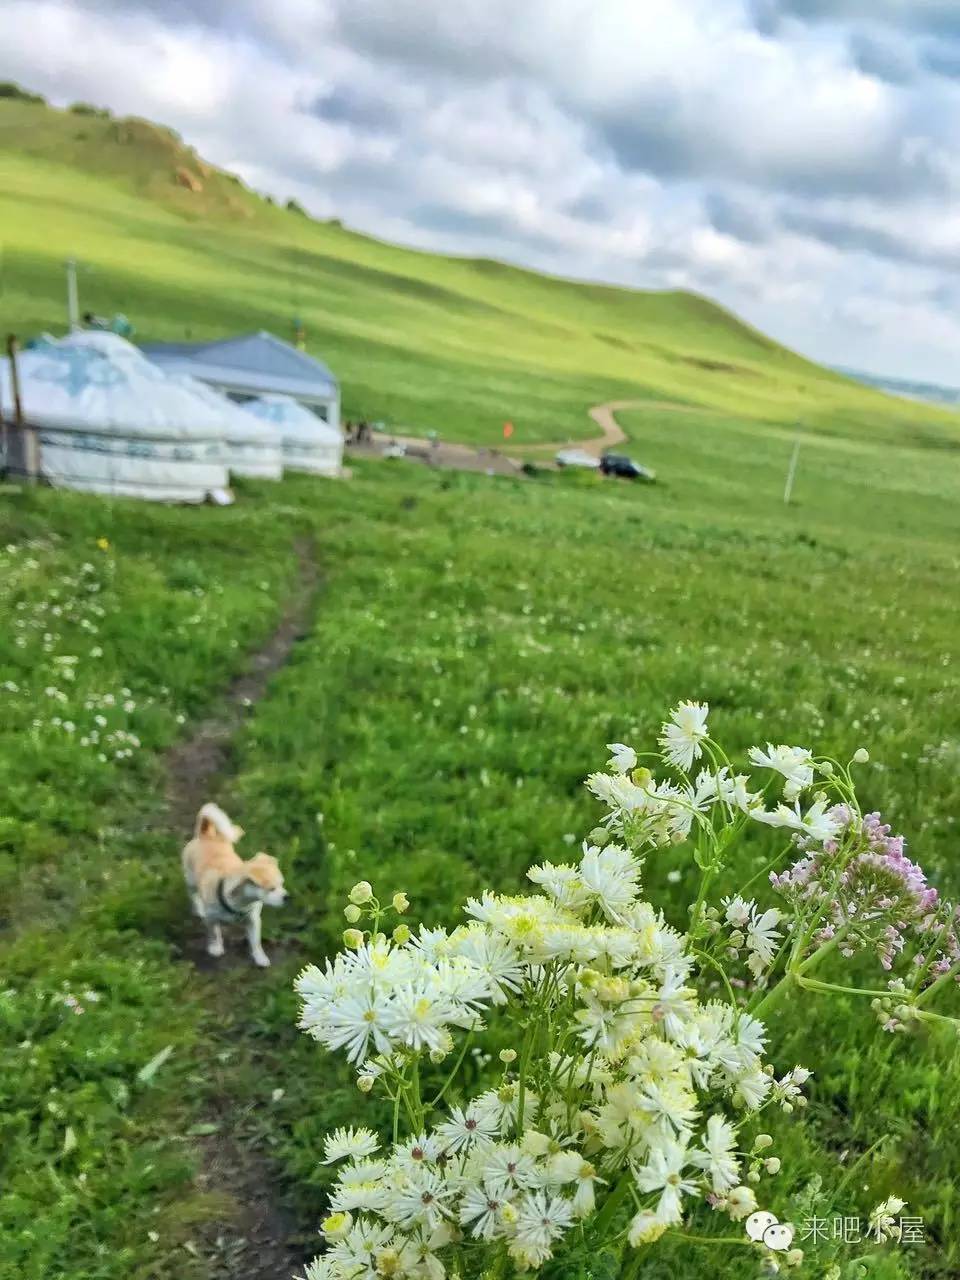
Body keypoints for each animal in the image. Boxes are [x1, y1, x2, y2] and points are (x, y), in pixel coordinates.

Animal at [180, 803, 285, 962]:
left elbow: (256, 941)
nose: (287, 897)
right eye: (271, 889)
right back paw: (199, 909)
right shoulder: (211, 919)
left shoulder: (253, 921)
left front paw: (259, 957)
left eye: (282, 884)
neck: (240, 901)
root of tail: (206, 834)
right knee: (194, 895)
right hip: (191, 881)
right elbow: (214, 934)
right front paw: (215, 947)